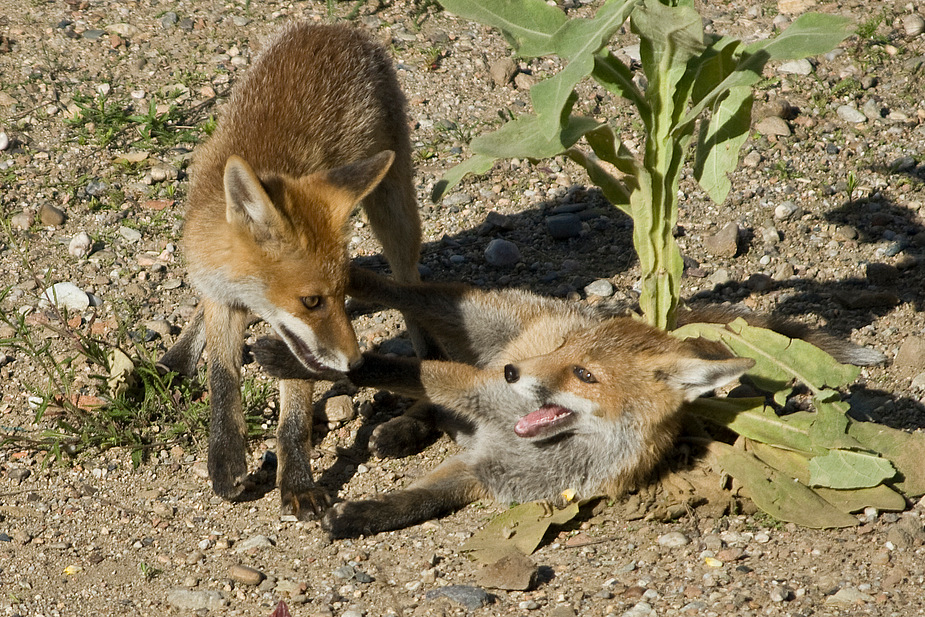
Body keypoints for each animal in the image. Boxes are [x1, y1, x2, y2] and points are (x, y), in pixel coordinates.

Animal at [159, 21, 422, 516]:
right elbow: (222, 378)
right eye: (311, 300)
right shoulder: (219, 295)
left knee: (412, 288)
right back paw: (174, 359)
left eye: (340, 293)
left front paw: (296, 480)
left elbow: (294, 414)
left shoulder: (296, 345)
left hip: (394, 211)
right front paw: (225, 456)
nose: (356, 362)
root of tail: (333, 28)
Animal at [253, 268, 880, 536]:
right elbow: (380, 366)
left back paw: (404, 429)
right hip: (464, 316)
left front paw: (359, 518)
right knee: (396, 288)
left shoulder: (485, 473)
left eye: (584, 372)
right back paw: (341, 278)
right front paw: (295, 361)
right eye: (563, 352)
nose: (512, 371)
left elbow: (416, 503)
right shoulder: (472, 388)